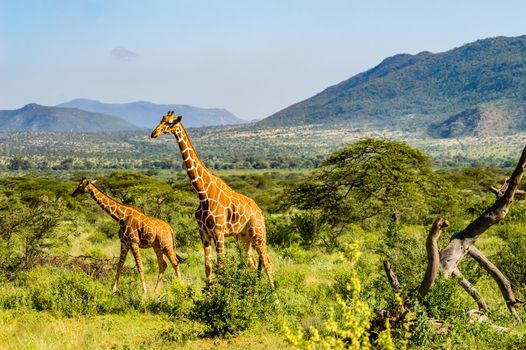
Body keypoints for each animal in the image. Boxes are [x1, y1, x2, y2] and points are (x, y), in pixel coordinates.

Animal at [151, 110, 274, 286]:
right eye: (161, 119)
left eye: (169, 123)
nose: (154, 133)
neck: (203, 193)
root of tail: (259, 211)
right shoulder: (203, 233)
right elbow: (208, 267)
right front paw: (208, 293)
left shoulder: (218, 232)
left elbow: (221, 266)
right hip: (243, 237)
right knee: (252, 262)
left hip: (258, 233)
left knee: (267, 262)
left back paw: (273, 292)